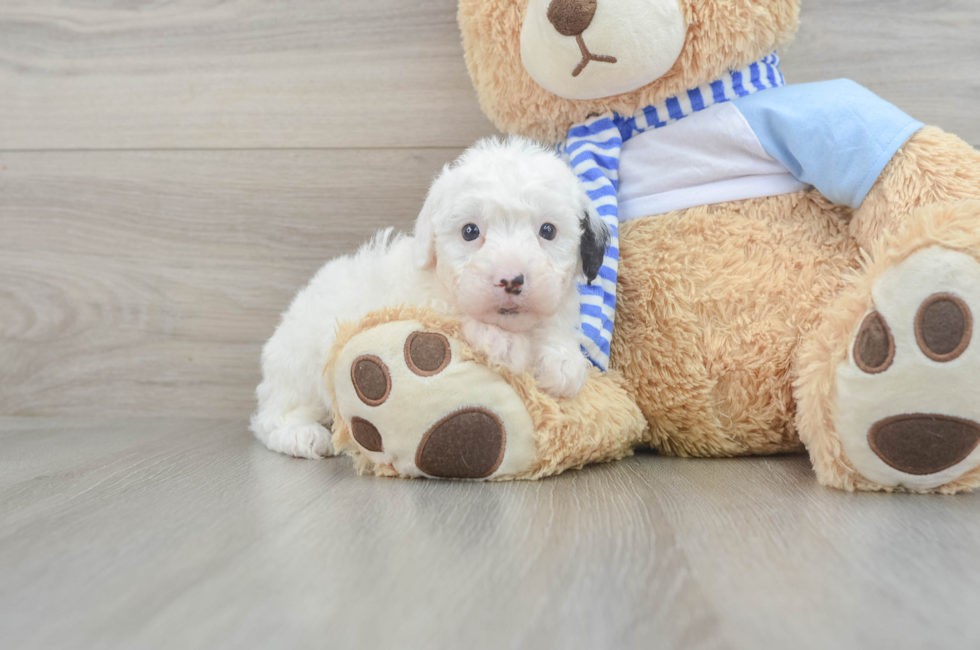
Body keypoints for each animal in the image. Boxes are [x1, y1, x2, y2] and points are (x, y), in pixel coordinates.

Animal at [251, 135, 604, 456]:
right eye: (470, 231)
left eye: (548, 231)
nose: (511, 280)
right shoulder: (419, 306)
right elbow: (459, 319)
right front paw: (504, 344)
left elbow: (554, 330)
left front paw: (562, 364)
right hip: (300, 368)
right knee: (272, 417)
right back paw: (302, 435)